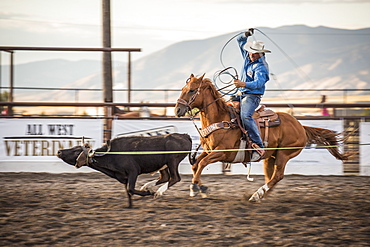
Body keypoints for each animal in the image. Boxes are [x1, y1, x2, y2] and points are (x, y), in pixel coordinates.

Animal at [175, 74, 348, 202]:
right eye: (183, 89)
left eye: (192, 90)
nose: (177, 110)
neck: (221, 120)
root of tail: (300, 126)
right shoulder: (208, 150)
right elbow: (195, 165)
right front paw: (202, 188)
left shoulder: (223, 153)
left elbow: (202, 163)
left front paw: (194, 188)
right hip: (270, 157)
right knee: (270, 177)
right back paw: (259, 195)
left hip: (284, 154)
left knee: (277, 176)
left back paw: (256, 195)